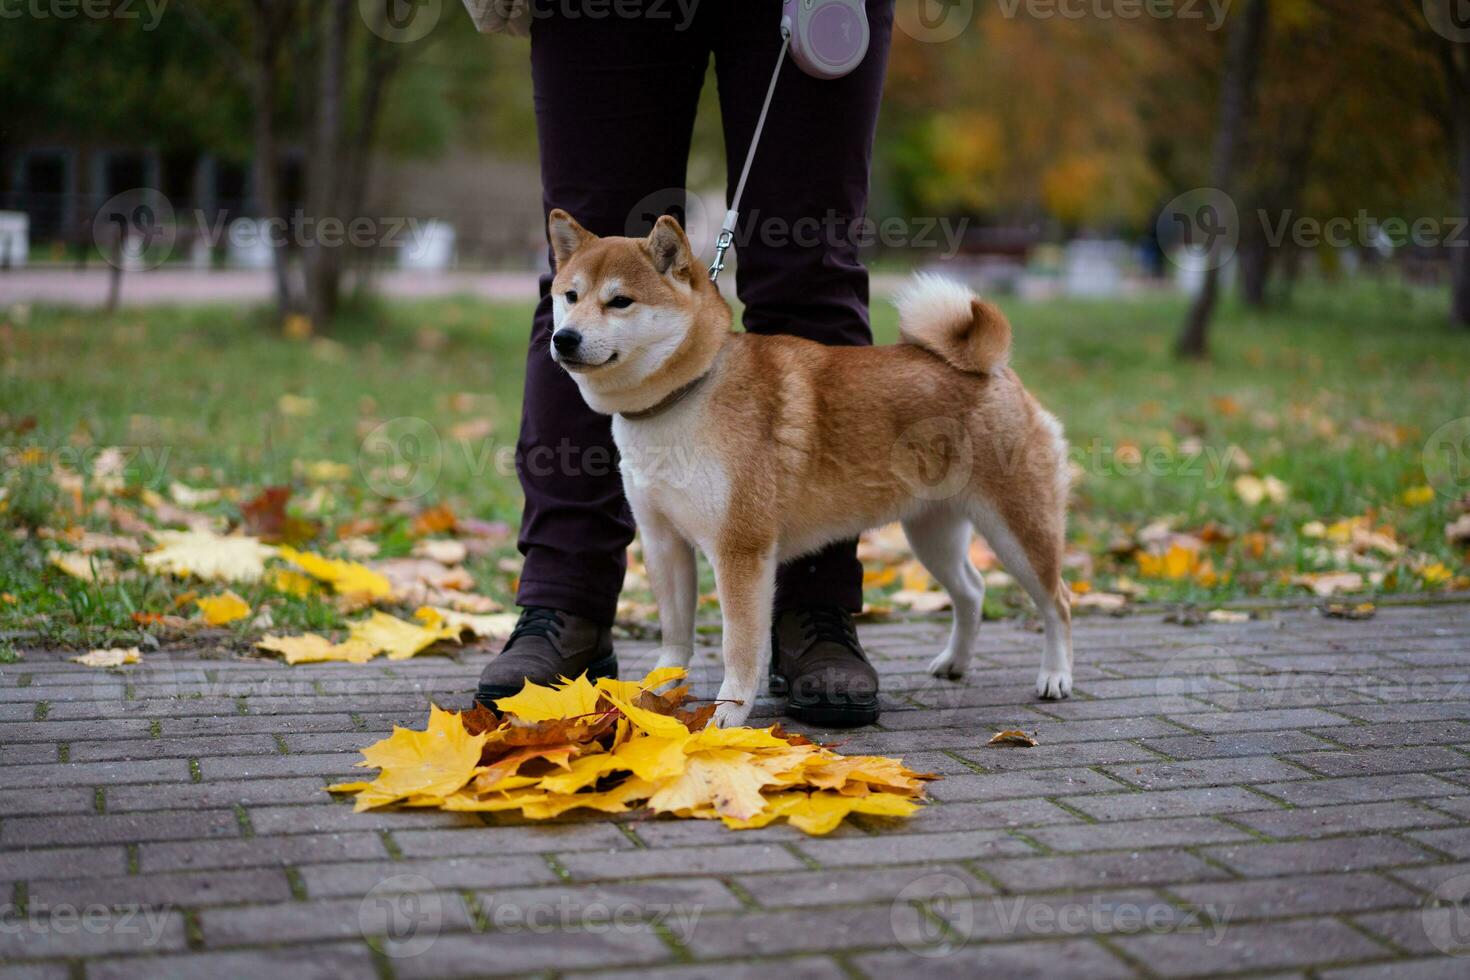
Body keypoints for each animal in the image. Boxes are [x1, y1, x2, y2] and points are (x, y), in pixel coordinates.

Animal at [546, 208, 1076, 728]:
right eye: (570, 296)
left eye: (620, 302)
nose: (564, 338)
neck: (685, 396)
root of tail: (991, 368)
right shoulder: (663, 541)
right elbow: (675, 637)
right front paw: (655, 695)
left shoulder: (740, 550)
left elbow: (739, 646)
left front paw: (728, 714)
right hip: (932, 533)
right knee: (972, 590)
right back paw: (955, 663)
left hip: (1017, 529)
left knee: (1058, 601)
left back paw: (1055, 675)